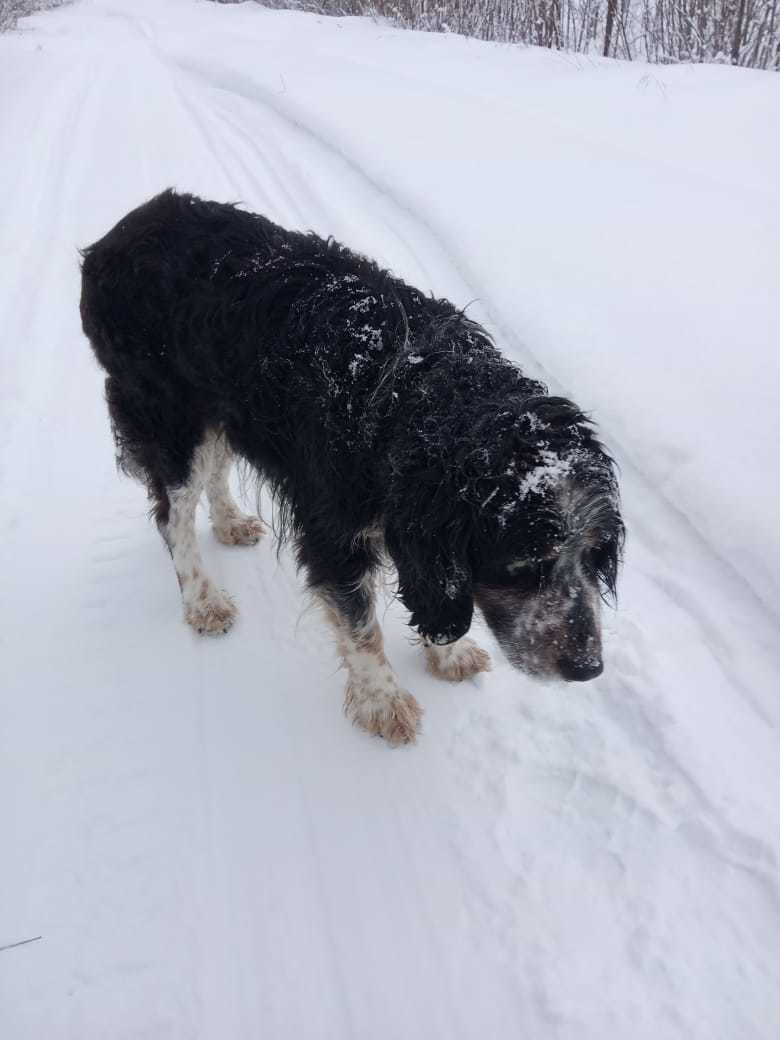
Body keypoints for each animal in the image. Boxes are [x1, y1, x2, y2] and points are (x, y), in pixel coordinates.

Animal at [79, 191, 628, 744]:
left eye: (592, 556)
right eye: (525, 562)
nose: (587, 669)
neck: (419, 404)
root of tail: (119, 232)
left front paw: (447, 656)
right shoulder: (334, 530)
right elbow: (362, 627)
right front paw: (383, 703)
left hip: (222, 410)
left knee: (213, 473)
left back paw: (231, 523)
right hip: (169, 419)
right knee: (172, 516)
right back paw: (203, 602)